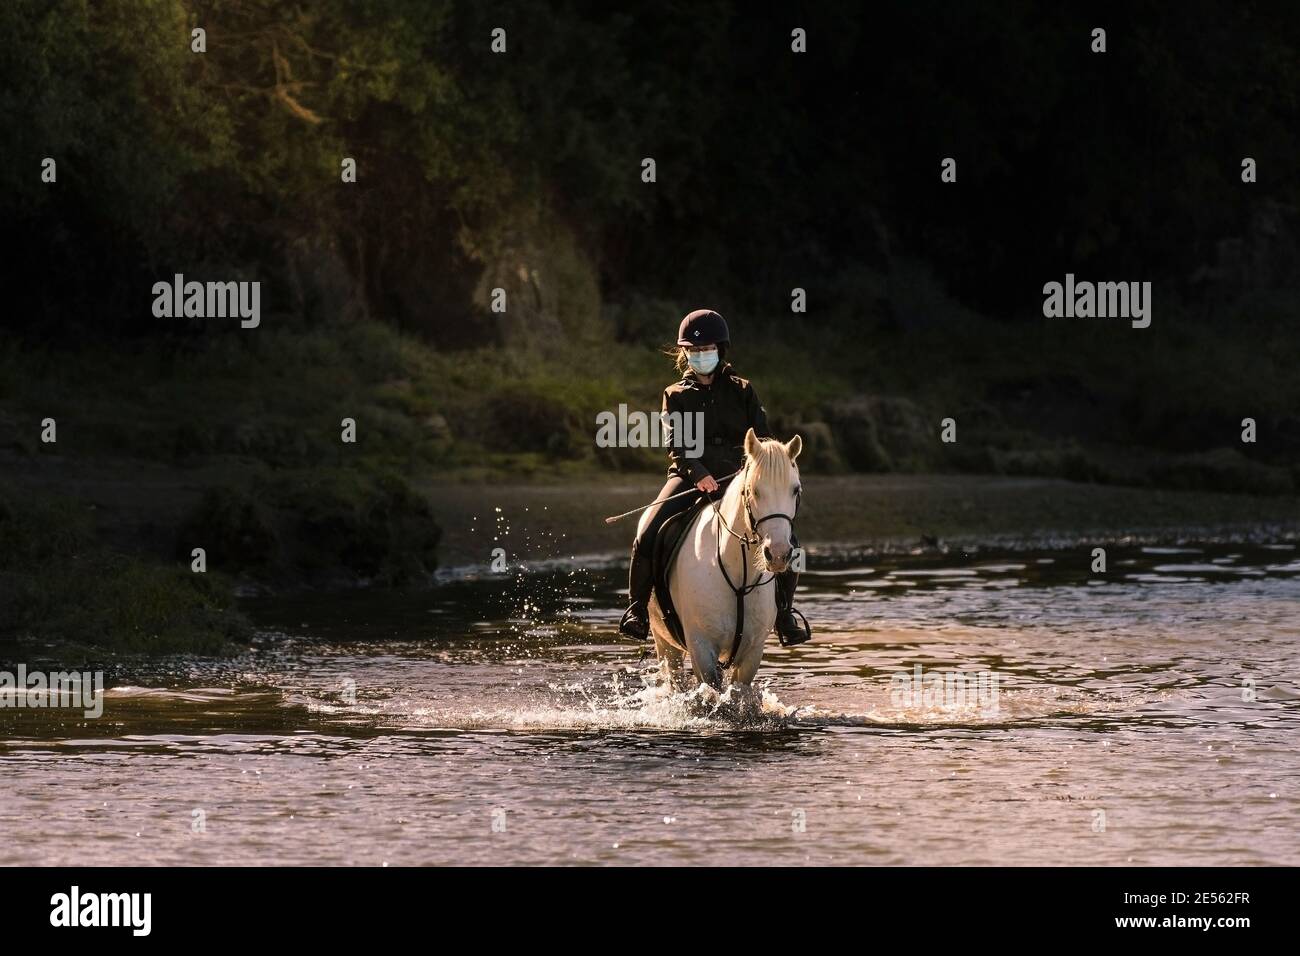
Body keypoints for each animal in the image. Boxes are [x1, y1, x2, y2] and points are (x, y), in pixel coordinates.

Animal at [642, 429, 800, 697]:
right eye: (753, 490)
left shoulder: (752, 652)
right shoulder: (701, 648)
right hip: (665, 643)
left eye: (795, 490)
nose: (778, 554)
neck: (739, 577)